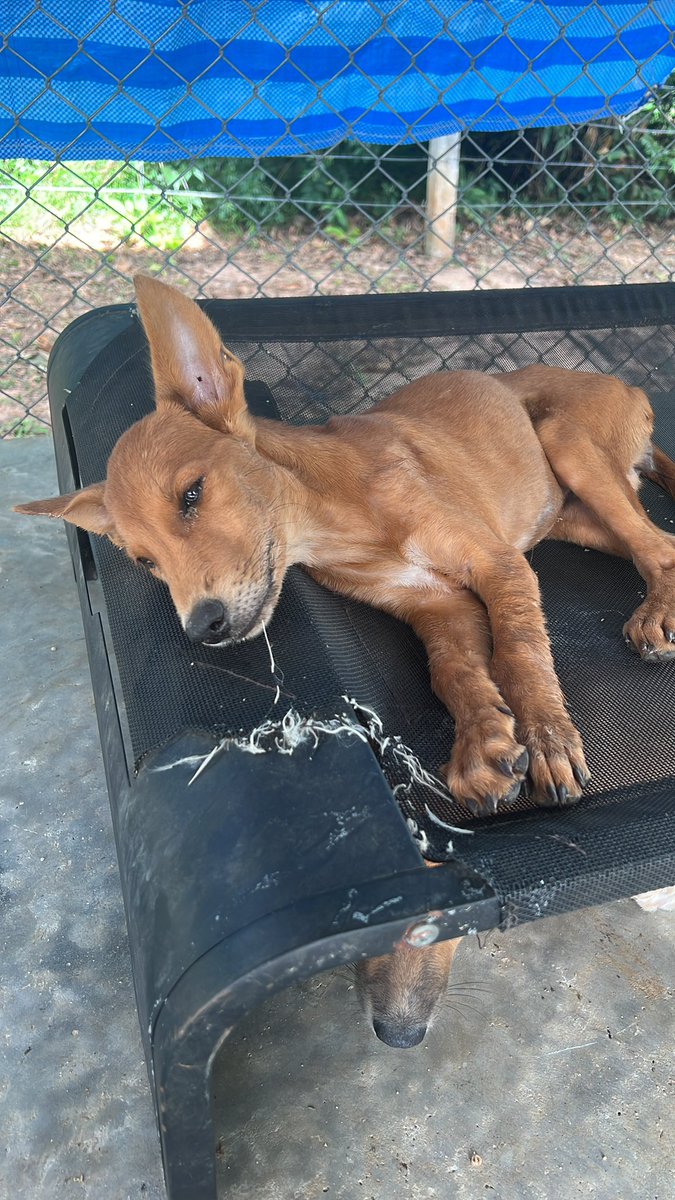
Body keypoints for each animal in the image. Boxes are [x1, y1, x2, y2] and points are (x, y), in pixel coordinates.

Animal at [13, 272, 672, 820]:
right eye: (145, 561)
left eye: (192, 494)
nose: (203, 628)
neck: (342, 519)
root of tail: (625, 384)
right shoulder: (436, 605)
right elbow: (453, 672)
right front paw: (483, 745)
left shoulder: (498, 563)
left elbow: (518, 651)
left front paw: (544, 737)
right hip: (568, 516)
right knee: (661, 541)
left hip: (564, 440)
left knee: (656, 547)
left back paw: (654, 616)